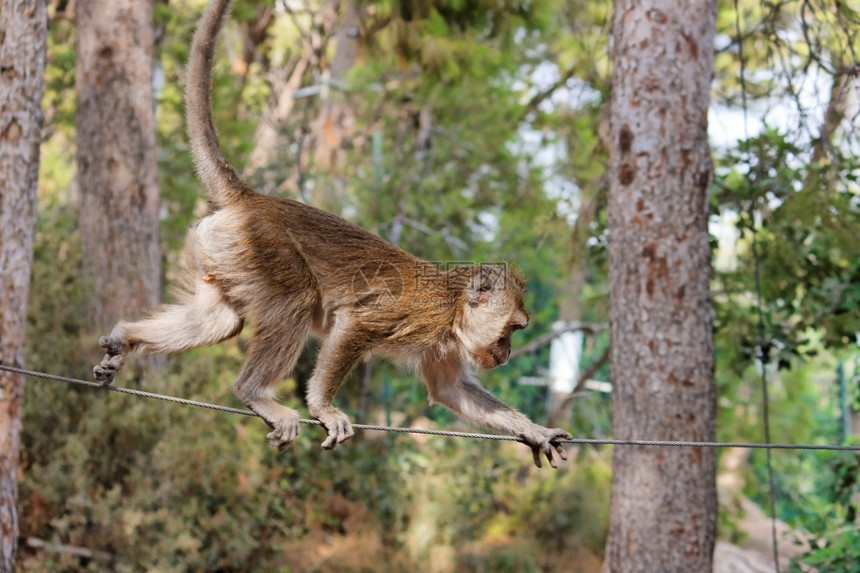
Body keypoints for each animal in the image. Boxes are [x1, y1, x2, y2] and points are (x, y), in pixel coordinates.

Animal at [94, 0, 572, 466]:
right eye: (512, 329)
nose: (506, 353)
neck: (453, 309)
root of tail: (252, 200)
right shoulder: (420, 313)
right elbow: (353, 325)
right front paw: (323, 406)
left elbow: (449, 389)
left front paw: (535, 431)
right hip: (259, 243)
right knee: (296, 299)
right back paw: (255, 393)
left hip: (222, 249)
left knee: (221, 321)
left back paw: (126, 338)